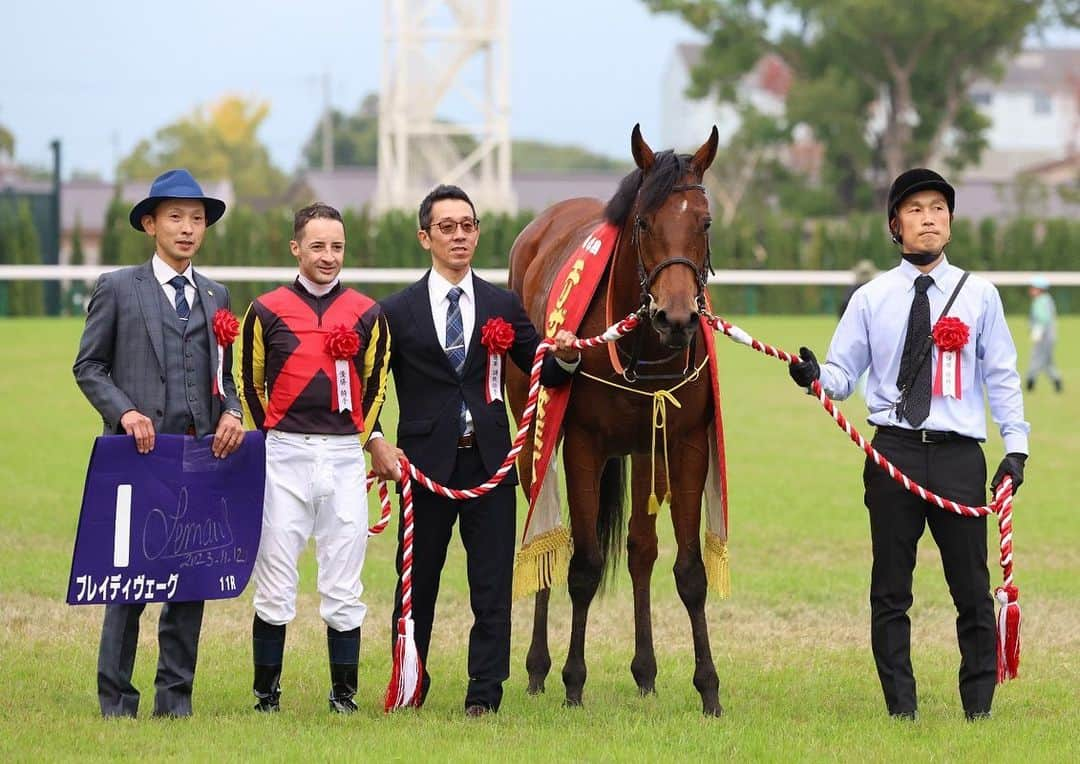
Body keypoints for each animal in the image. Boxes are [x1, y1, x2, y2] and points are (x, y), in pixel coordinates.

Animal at [507, 125, 725, 717]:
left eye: (704, 222)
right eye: (644, 222)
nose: (677, 318)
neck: (641, 349)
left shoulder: (684, 443)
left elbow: (687, 570)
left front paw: (708, 687)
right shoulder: (583, 443)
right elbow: (582, 565)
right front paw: (572, 680)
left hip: (645, 449)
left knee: (640, 551)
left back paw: (645, 672)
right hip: (534, 431)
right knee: (542, 536)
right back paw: (537, 668)